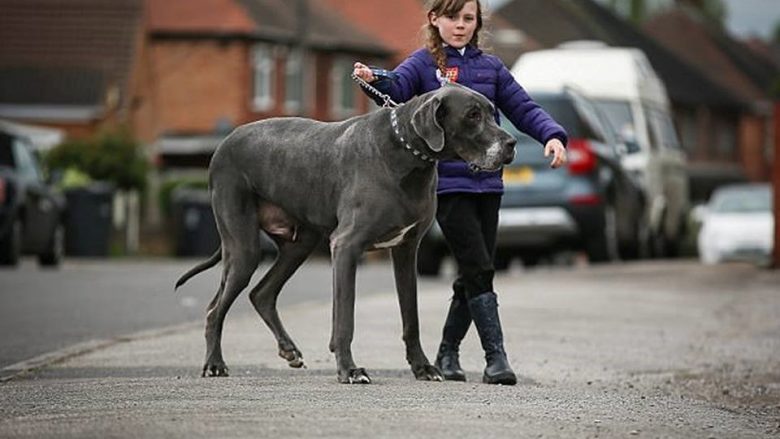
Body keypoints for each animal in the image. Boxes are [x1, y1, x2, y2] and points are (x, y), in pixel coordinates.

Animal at [177, 82, 516, 384]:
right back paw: (214, 364)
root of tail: (224, 142)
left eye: (491, 111)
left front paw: (422, 368)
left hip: (300, 244)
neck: (407, 154)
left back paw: (289, 350)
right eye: (472, 115)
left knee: (262, 293)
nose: (511, 143)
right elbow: (345, 318)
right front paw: (350, 370)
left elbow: (411, 317)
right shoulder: (346, 246)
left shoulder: (406, 250)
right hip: (244, 247)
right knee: (214, 309)